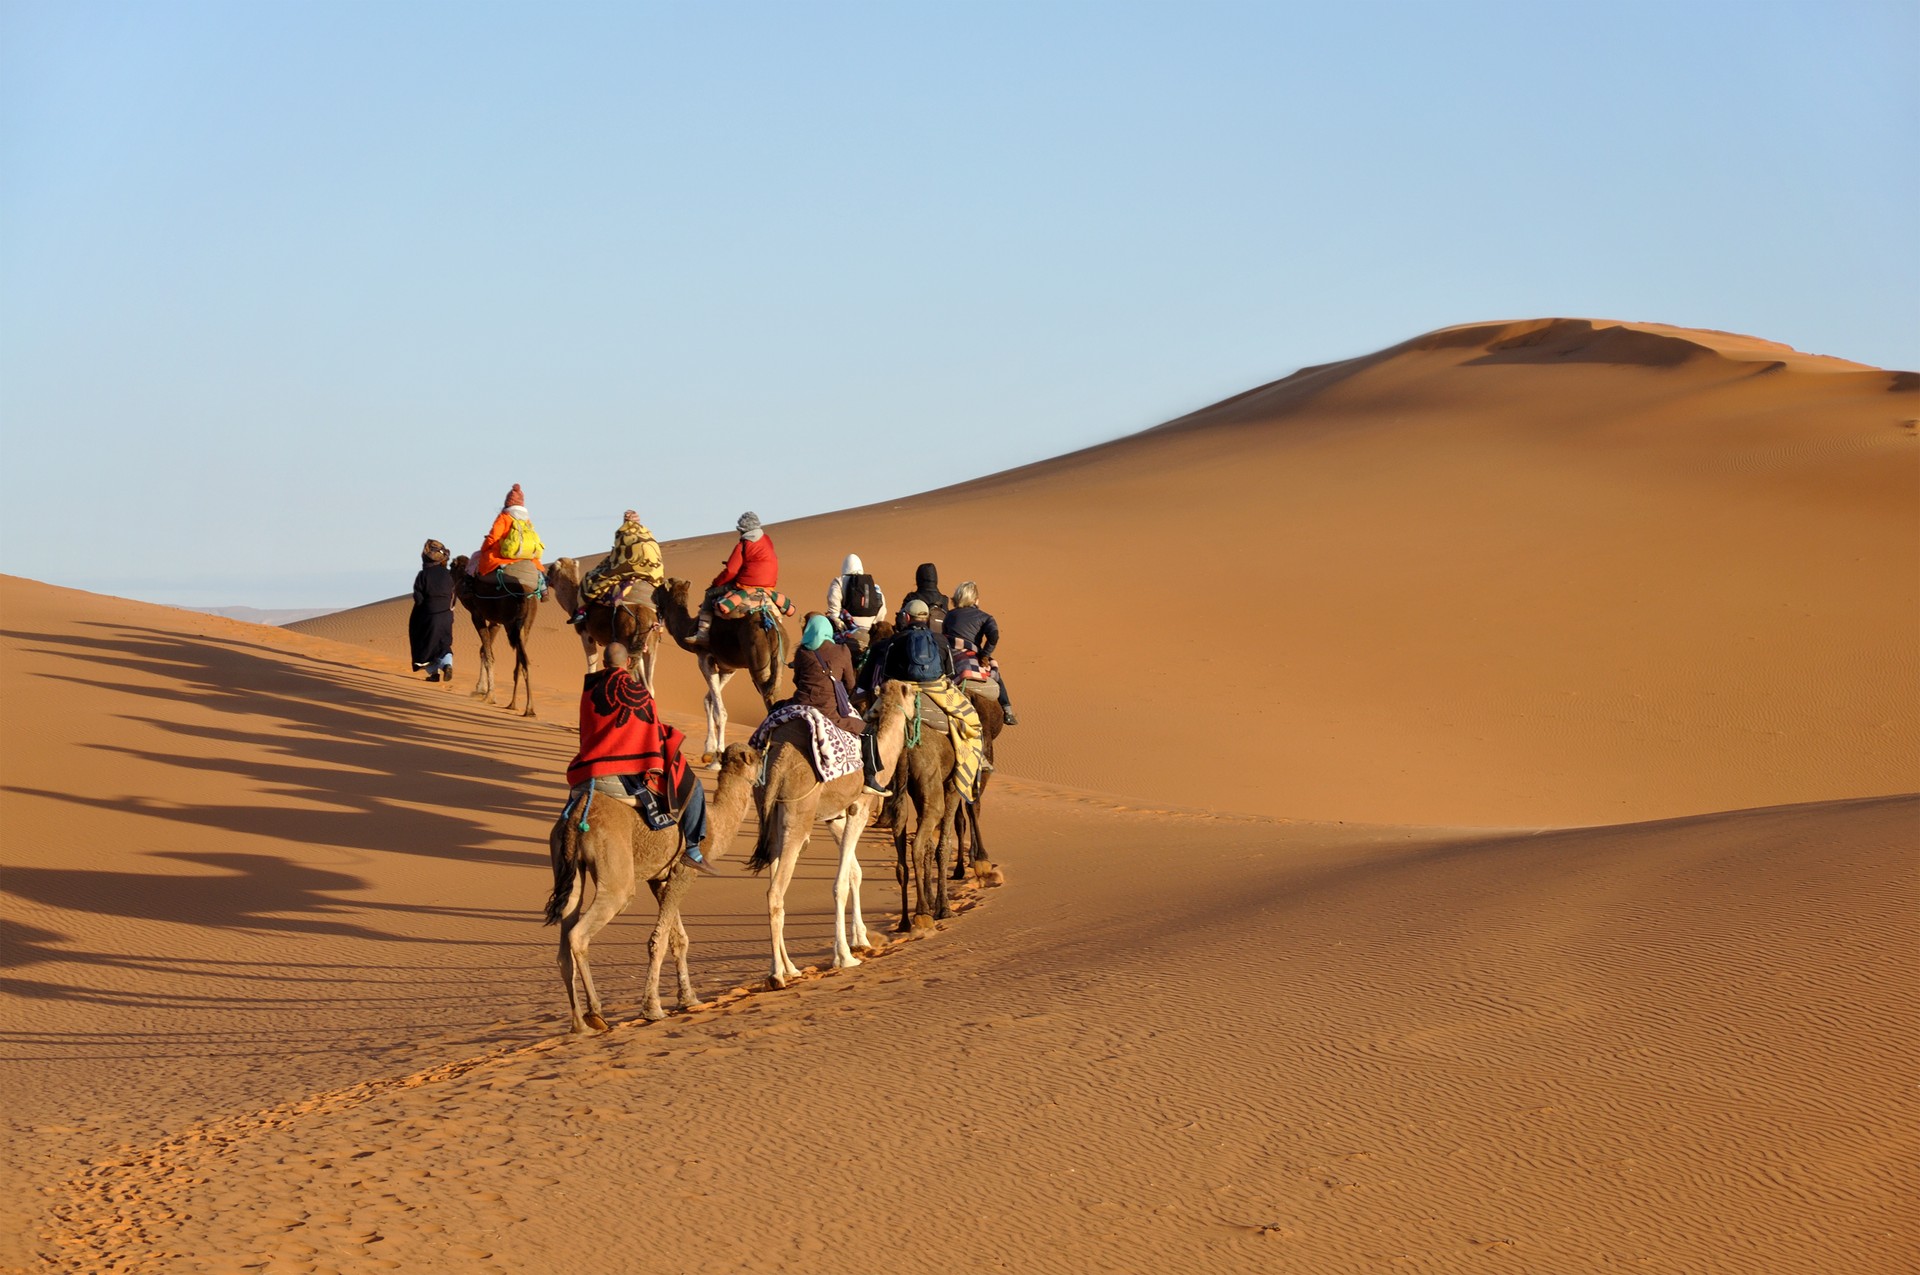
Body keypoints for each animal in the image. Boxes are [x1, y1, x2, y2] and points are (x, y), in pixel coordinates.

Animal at [449, 556, 541, 718]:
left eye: (451, 566)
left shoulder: (477, 615)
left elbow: (488, 655)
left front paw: (489, 695)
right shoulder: (496, 622)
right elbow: (483, 651)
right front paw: (481, 689)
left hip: (511, 624)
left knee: (523, 661)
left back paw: (528, 708)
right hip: (525, 626)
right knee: (521, 662)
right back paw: (514, 704)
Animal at [545, 556, 664, 687]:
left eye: (550, 569)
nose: (545, 577)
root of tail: (645, 617)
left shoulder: (586, 634)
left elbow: (592, 662)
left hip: (629, 642)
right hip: (649, 646)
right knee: (648, 683)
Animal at [545, 748, 760, 1036]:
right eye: (758, 755)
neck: (716, 824)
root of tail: (577, 816)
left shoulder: (659, 877)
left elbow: (678, 939)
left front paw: (689, 999)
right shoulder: (684, 871)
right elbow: (658, 940)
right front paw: (652, 1009)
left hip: (566, 863)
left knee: (566, 933)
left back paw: (579, 1024)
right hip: (615, 870)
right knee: (581, 932)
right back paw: (596, 1013)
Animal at [652, 579, 787, 768]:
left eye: (659, 589)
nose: (651, 594)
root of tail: (771, 628)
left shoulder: (704, 657)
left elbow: (720, 712)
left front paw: (717, 759)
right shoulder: (728, 667)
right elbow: (708, 701)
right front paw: (708, 752)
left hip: (759, 666)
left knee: (770, 700)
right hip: (778, 664)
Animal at [741, 675, 913, 983]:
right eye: (914, 695)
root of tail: (777, 763)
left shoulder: (835, 816)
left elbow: (855, 872)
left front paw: (861, 940)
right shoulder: (859, 808)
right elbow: (840, 883)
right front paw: (844, 957)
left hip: (769, 817)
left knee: (775, 879)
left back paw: (789, 967)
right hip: (798, 814)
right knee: (775, 892)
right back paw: (777, 975)